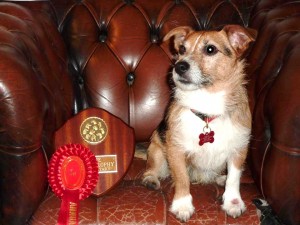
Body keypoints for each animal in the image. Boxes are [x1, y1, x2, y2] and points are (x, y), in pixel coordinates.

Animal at [142, 24, 256, 221]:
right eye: (182, 49)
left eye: (210, 49)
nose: (179, 66)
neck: (207, 105)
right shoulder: (176, 150)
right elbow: (182, 179)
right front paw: (182, 205)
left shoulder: (239, 149)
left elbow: (234, 178)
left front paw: (233, 202)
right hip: (156, 149)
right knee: (152, 168)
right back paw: (151, 179)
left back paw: (221, 178)